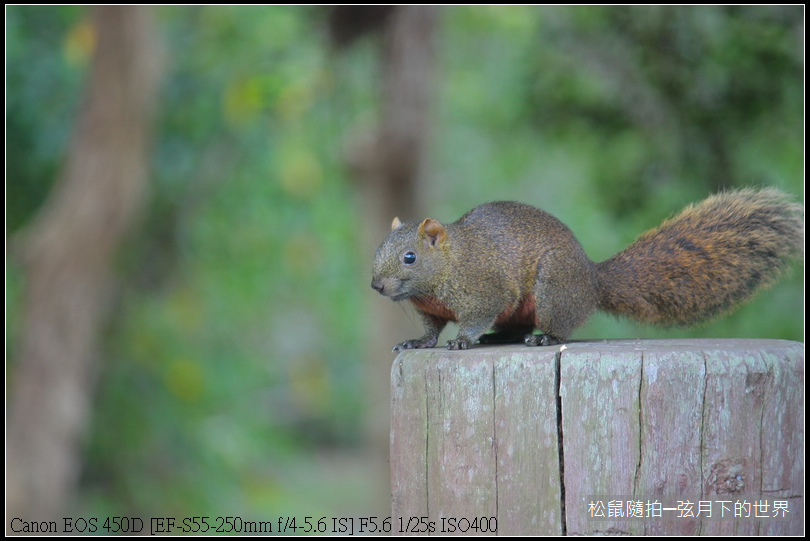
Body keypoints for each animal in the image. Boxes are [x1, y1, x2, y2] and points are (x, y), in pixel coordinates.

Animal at [372, 188, 800, 352]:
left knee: (556, 325)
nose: (376, 286)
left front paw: (462, 340)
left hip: (553, 288)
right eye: (377, 249)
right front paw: (416, 343)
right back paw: (502, 337)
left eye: (409, 257)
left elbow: (476, 317)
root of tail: (592, 280)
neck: (448, 265)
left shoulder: (485, 290)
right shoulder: (431, 309)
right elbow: (430, 331)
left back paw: (543, 338)